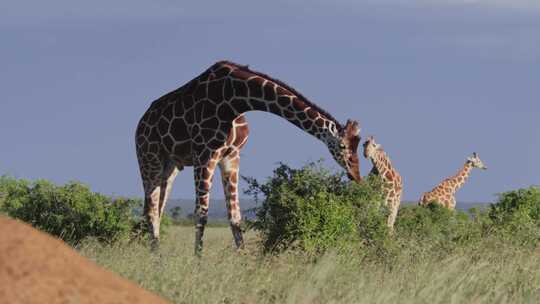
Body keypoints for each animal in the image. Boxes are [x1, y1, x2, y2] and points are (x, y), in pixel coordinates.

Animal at [135, 60, 362, 255]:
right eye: (343, 146)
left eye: (358, 146)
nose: (357, 176)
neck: (237, 99)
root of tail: (140, 125)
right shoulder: (204, 154)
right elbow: (201, 213)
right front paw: (197, 263)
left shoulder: (231, 157)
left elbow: (235, 216)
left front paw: (243, 259)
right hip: (149, 158)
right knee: (151, 211)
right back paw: (156, 259)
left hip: (170, 165)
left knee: (158, 209)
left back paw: (157, 256)